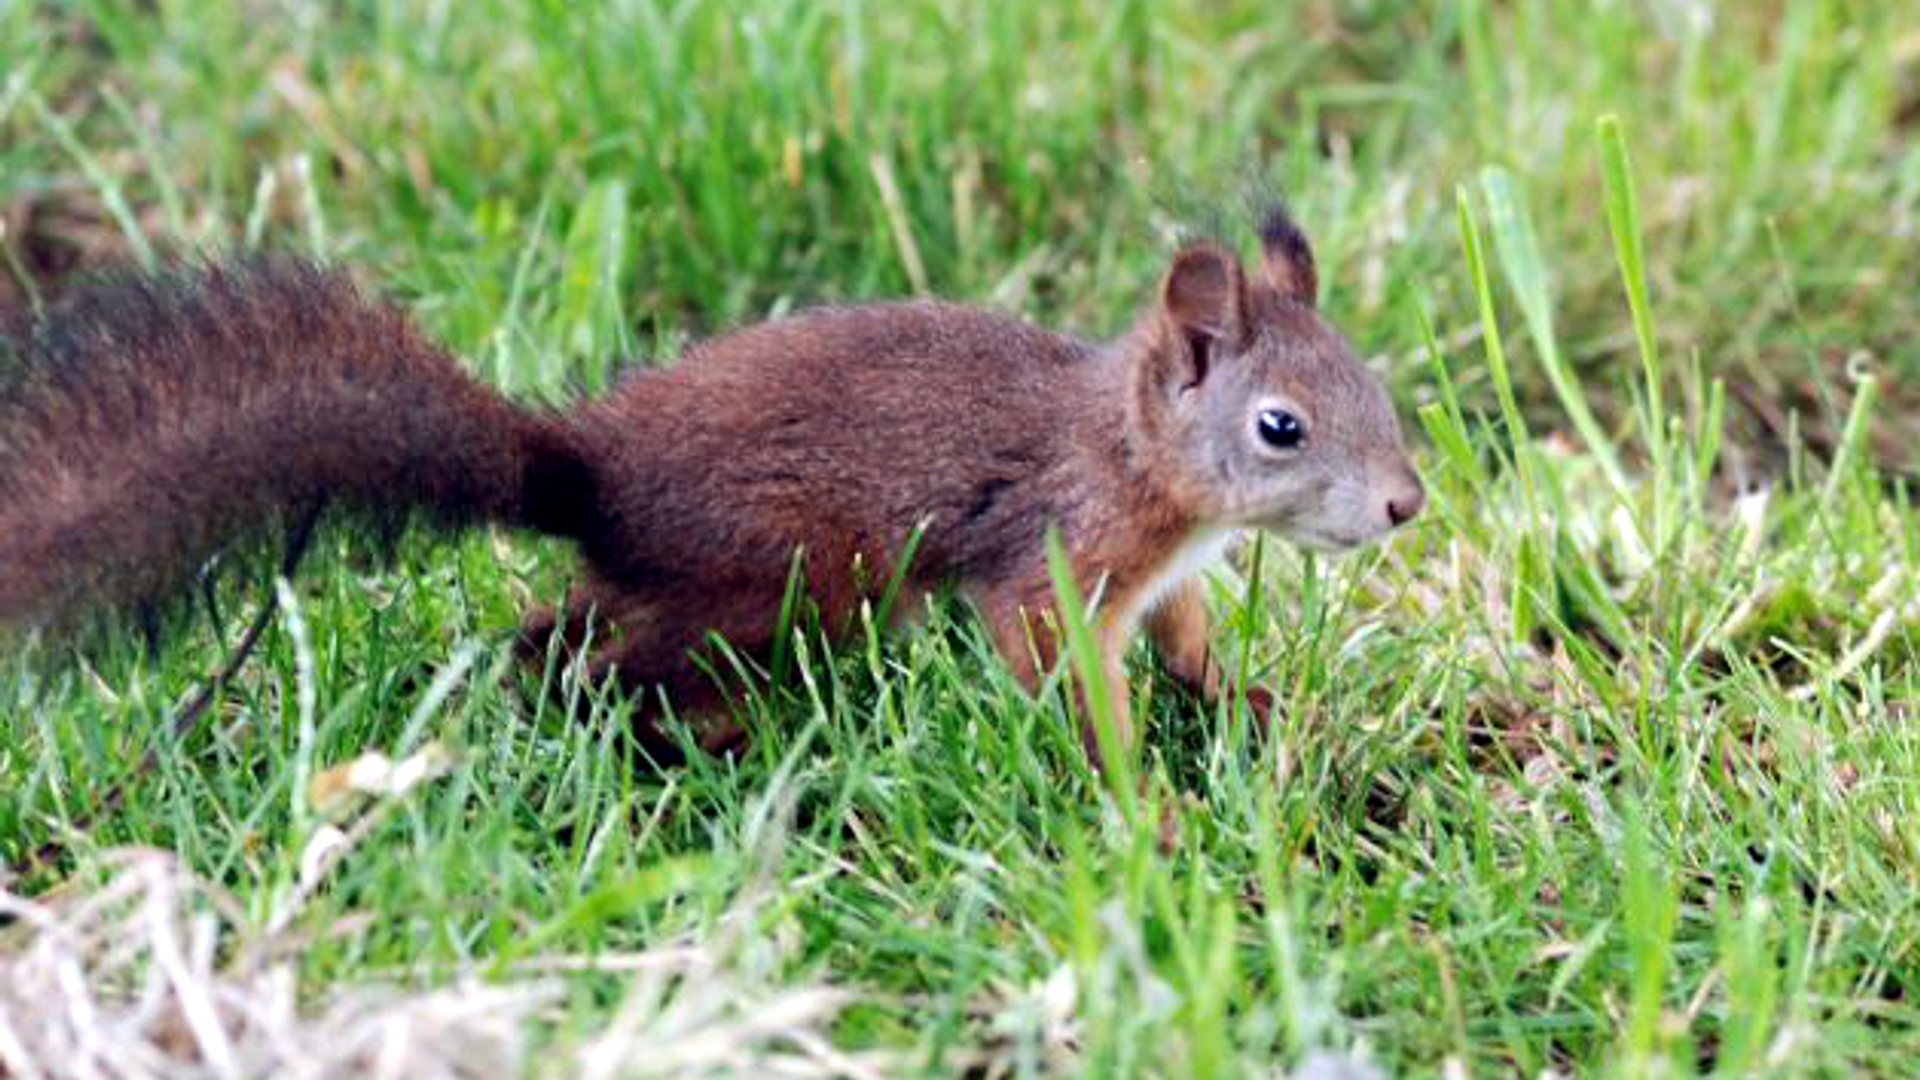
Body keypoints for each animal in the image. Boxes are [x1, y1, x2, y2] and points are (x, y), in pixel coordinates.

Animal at [0, 208, 1428, 764]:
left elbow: (1185, 649)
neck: (1139, 456)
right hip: (789, 577)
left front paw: (1251, 706)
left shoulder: (1164, 576)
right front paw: (1133, 797)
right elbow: (1058, 670)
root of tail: (584, 477)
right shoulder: (1055, 556)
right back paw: (710, 732)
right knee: (599, 660)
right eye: (1283, 427)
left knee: (552, 634)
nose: (1406, 505)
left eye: (1371, 379)